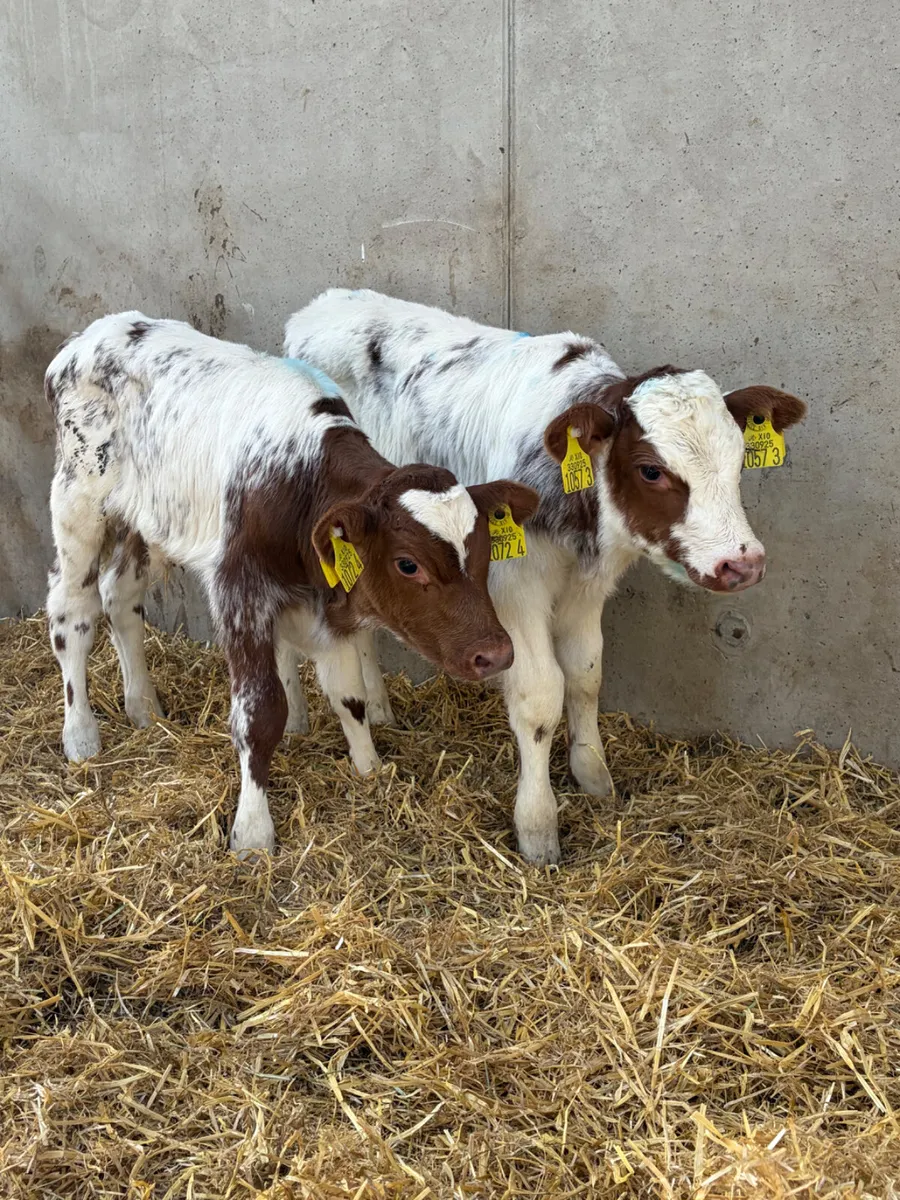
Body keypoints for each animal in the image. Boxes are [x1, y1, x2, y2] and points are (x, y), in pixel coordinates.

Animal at [44, 313, 538, 854]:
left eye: (484, 549)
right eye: (408, 564)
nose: (496, 653)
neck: (299, 482)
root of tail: (92, 335)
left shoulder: (327, 605)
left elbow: (349, 695)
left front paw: (370, 770)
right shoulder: (239, 592)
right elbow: (259, 714)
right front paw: (253, 830)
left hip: (146, 520)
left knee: (121, 597)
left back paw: (144, 708)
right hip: (78, 504)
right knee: (73, 614)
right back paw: (81, 734)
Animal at [284, 288, 807, 865]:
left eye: (739, 461)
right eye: (651, 470)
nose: (743, 563)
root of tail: (327, 303)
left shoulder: (587, 589)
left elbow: (585, 673)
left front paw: (593, 775)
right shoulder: (515, 591)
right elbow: (539, 697)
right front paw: (538, 826)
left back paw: (378, 708)